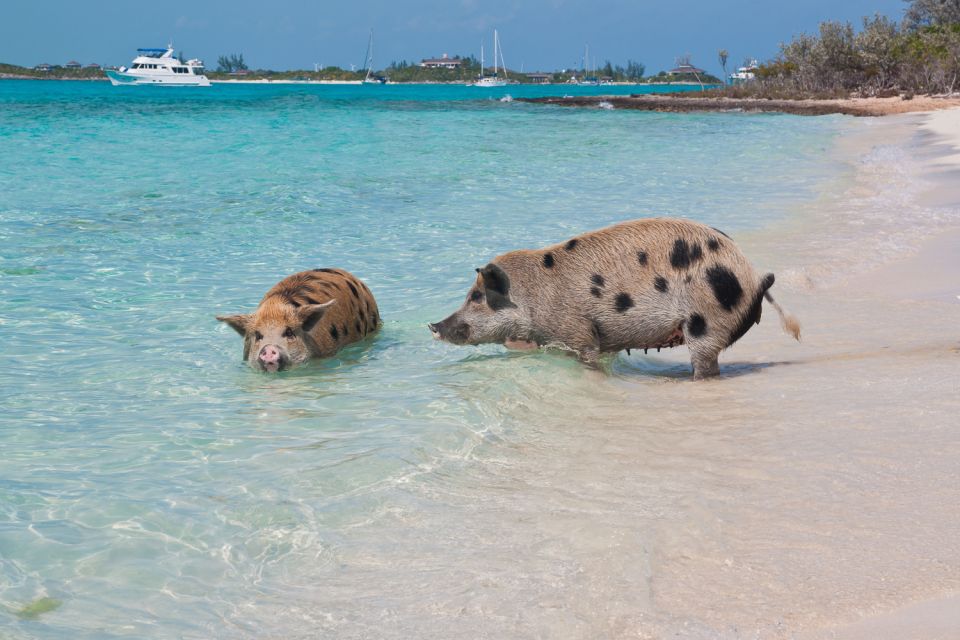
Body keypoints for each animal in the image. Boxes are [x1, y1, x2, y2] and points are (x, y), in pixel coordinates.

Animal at [430, 219, 804, 380]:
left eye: (476, 296)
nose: (433, 325)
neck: (534, 297)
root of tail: (754, 276)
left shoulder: (579, 331)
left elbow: (589, 358)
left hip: (707, 319)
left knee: (706, 363)